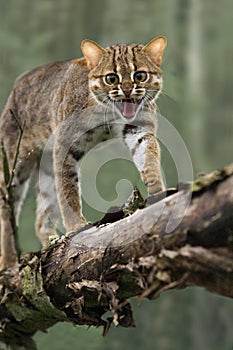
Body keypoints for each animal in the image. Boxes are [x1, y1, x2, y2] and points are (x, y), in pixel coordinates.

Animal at [0, 36, 166, 268]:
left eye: (140, 76)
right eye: (111, 78)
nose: (127, 91)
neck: (107, 110)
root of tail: (18, 83)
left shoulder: (138, 129)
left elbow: (149, 157)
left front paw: (158, 191)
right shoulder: (65, 143)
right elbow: (68, 189)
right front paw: (76, 227)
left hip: (47, 165)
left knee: (41, 217)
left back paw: (50, 242)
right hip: (13, 163)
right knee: (7, 210)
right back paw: (8, 261)